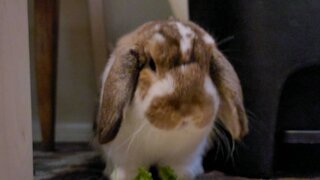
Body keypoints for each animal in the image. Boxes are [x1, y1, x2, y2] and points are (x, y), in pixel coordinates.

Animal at [95, 19, 250, 179]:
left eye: (208, 65)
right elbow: (128, 166)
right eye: (151, 63)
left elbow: (179, 166)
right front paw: (122, 176)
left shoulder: (186, 154)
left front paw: (185, 173)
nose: (188, 109)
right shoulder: (123, 153)